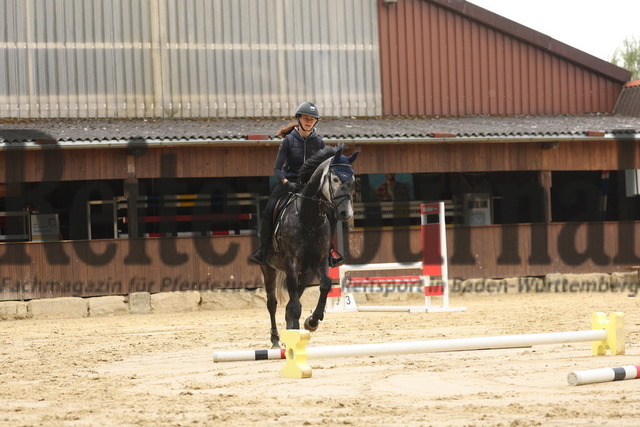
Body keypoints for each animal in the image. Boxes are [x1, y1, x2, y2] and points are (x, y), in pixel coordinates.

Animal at [260, 145, 360, 350]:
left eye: (353, 180)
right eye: (335, 179)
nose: (346, 213)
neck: (308, 217)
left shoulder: (318, 261)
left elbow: (325, 285)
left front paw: (312, 321)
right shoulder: (291, 263)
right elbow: (293, 305)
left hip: (304, 273)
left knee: (290, 302)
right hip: (269, 268)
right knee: (272, 303)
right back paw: (275, 340)